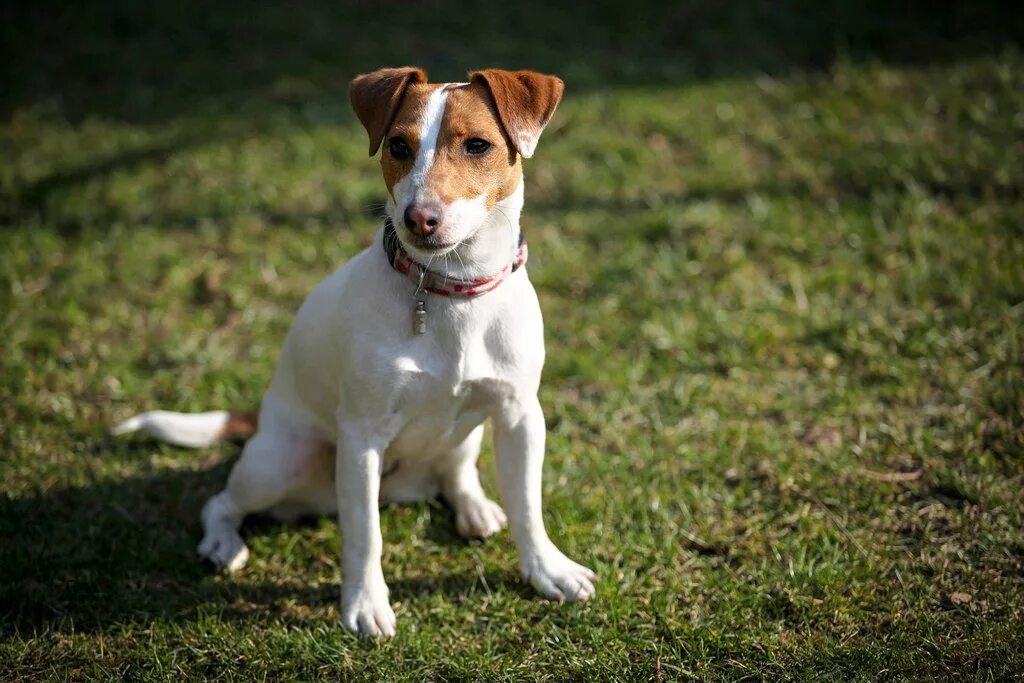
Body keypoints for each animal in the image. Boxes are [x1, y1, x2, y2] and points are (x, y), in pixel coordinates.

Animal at [113, 66, 598, 638]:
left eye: (478, 145)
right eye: (398, 146)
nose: (419, 218)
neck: (451, 291)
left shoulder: (521, 416)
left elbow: (527, 505)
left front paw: (547, 569)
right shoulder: (363, 437)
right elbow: (365, 533)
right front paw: (366, 604)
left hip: (471, 431)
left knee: (456, 468)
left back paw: (474, 506)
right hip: (280, 461)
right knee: (223, 501)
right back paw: (223, 541)